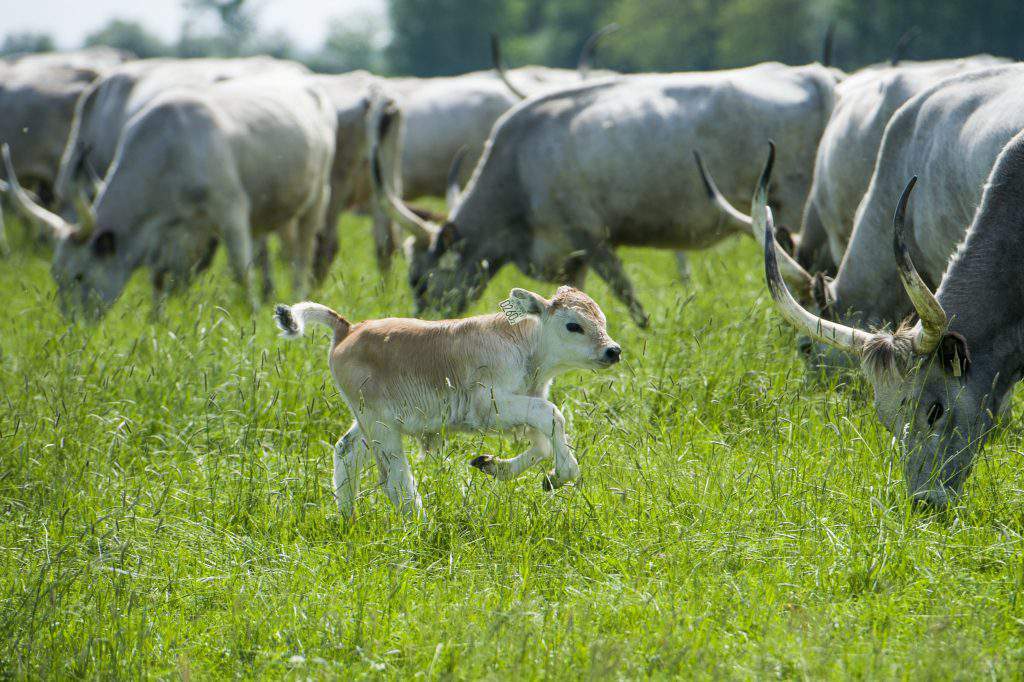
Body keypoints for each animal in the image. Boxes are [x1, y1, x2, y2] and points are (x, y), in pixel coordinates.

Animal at [6, 74, 337, 315]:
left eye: (79, 275)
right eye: (56, 277)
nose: (72, 325)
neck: (169, 151)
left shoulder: (231, 212)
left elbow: (240, 271)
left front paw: (251, 312)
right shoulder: (171, 232)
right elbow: (161, 276)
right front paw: (158, 318)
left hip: (317, 197)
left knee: (302, 253)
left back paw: (298, 293)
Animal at [274, 284, 622, 516]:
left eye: (602, 321)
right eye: (573, 325)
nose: (613, 350)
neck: (526, 346)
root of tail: (349, 328)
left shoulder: (525, 405)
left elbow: (543, 443)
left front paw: (494, 466)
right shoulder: (491, 406)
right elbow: (552, 416)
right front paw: (562, 474)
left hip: (367, 423)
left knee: (346, 452)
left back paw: (348, 517)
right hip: (382, 427)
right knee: (395, 479)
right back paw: (419, 523)